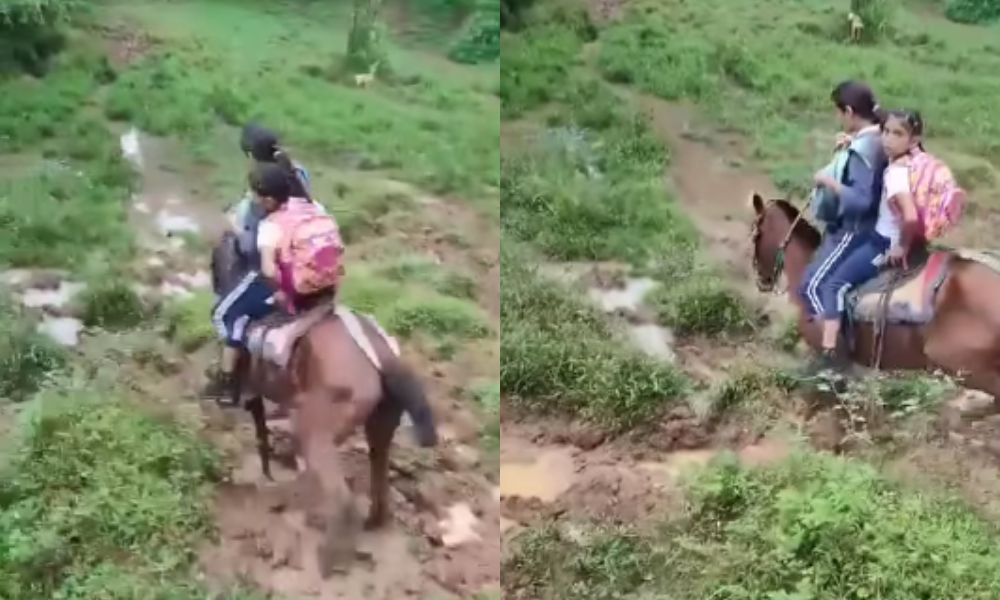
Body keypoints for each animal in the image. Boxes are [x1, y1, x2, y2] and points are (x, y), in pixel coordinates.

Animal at [211, 231, 438, 576]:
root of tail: (381, 352)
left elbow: (260, 431)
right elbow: (262, 436)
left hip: (314, 427)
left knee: (341, 497)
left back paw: (329, 556)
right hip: (380, 423)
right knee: (378, 472)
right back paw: (370, 521)